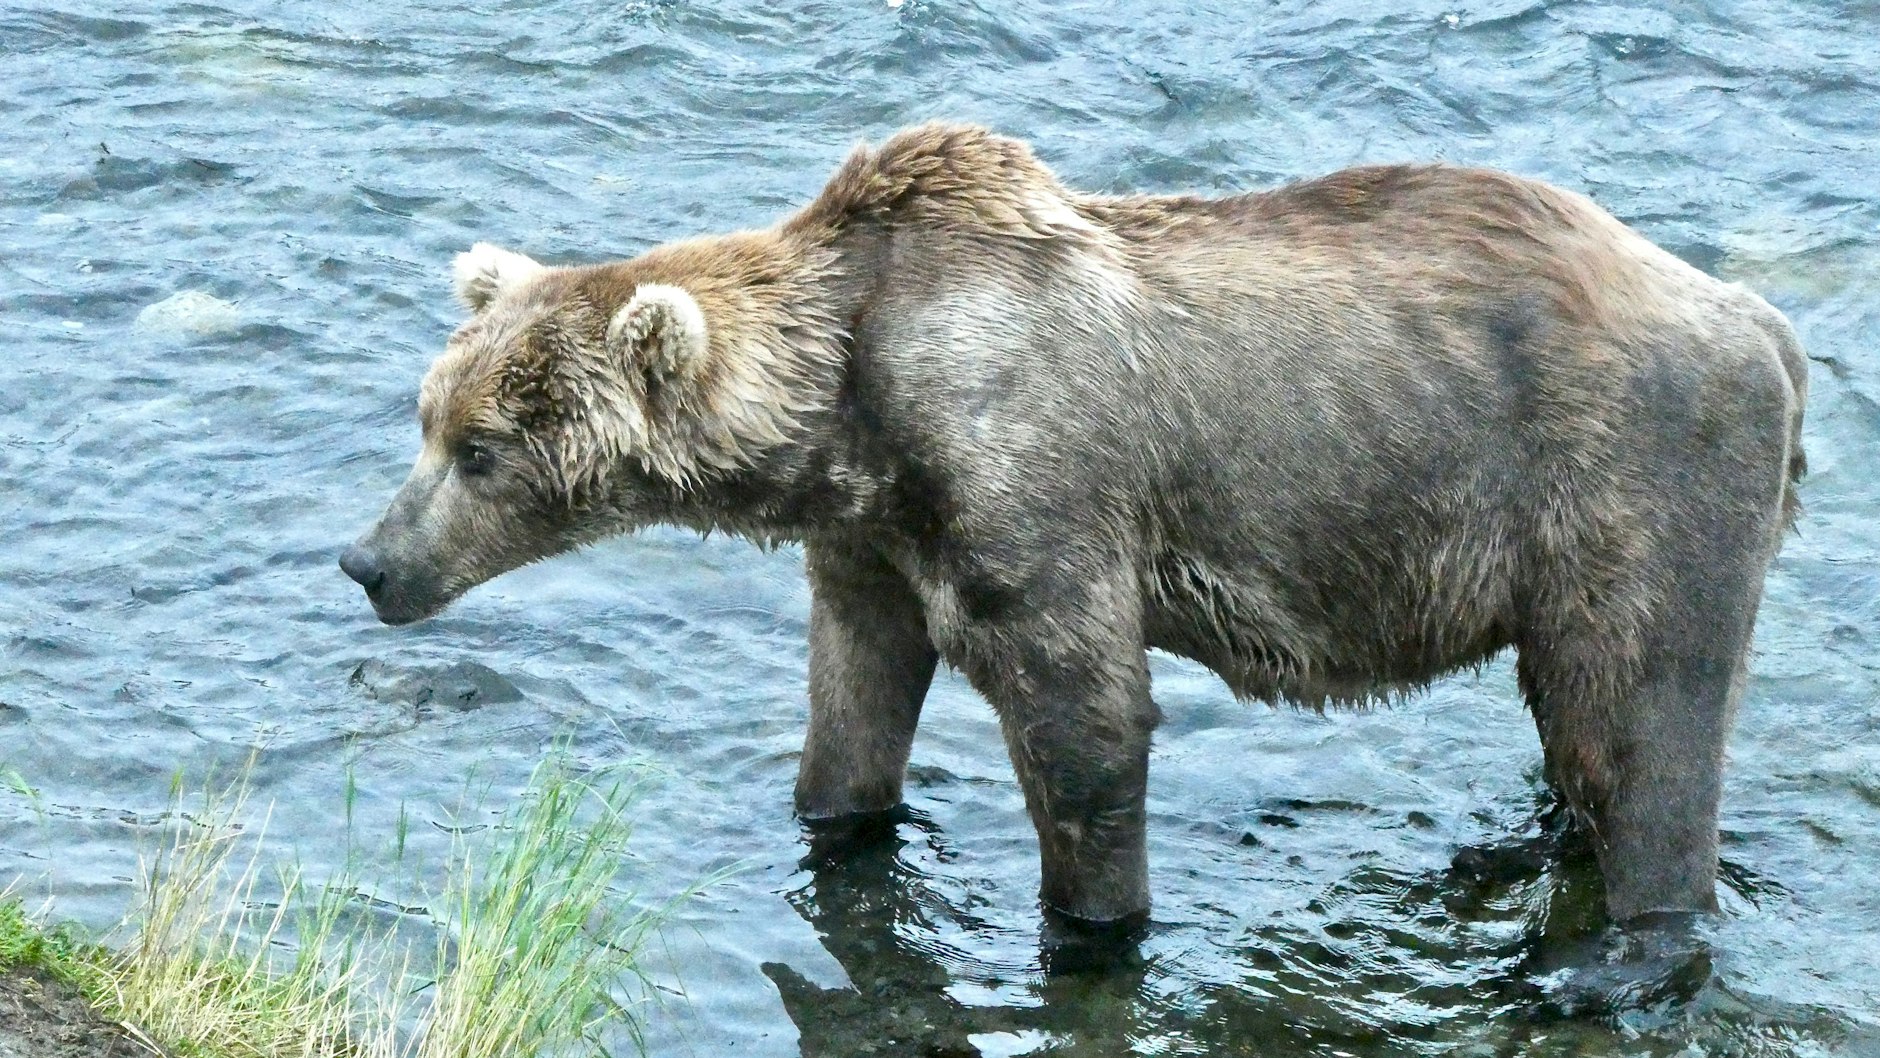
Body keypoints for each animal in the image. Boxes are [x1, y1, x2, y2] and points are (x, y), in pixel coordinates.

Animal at [340, 123, 1807, 929]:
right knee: (1575, 725)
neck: (850, 410)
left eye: (480, 449)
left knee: (1644, 729)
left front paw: (1094, 917)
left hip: (1619, 485)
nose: (368, 560)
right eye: (425, 416)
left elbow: (1086, 723)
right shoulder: (872, 543)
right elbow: (855, 698)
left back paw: (1627, 938)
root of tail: (1755, 317)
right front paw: (835, 817)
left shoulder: (1031, 485)